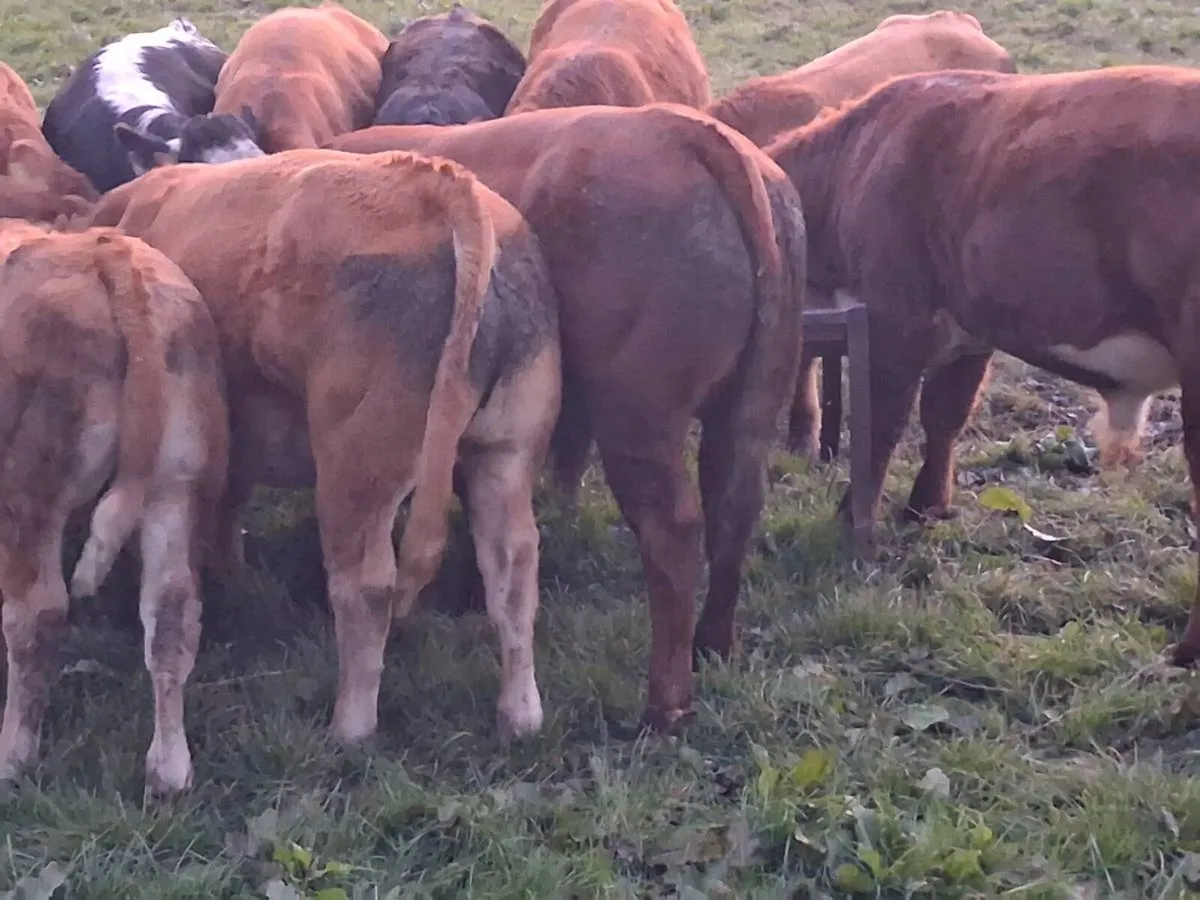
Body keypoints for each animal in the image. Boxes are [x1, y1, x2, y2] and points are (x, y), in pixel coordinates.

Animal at [0, 221, 229, 795]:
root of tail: (105, 251)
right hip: (176, 487)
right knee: (171, 613)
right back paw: (168, 773)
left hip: (27, 493)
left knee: (36, 614)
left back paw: (12, 756)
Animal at [89, 148, 562, 745]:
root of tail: (440, 185)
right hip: (505, 453)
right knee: (513, 564)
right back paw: (520, 716)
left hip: (356, 463)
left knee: (366, 585)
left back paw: (350, 727)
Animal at [328, 103, 806, 730]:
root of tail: (681, 129)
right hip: (750, 410)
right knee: (736, 507)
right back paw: (712, 644)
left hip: (637, 419)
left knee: (674, 531)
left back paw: (664, 704)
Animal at [766, 64, 1200, 666]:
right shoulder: (971, 329)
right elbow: (944, 415)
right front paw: (926, 506)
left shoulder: (895, 316)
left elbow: (881, 426)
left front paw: (851, 520)